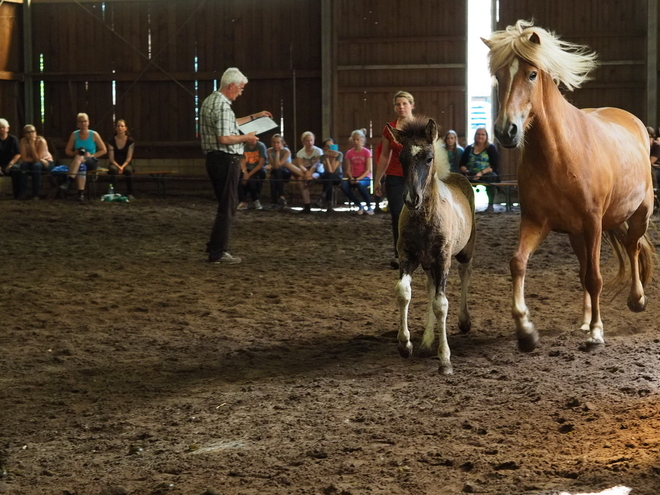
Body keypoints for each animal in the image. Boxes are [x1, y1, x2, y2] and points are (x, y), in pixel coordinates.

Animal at [390, 118, 476, 374]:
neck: (426, 218)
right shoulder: (408, 257)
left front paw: (445, 360)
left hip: (465, 251)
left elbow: (441, 304)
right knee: (429, 288)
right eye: (401, 159)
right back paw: (427, 342)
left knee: (465, 272)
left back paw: (464, 321)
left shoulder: (443, 260)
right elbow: (404, 292)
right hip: (428, 264)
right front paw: (405, 345)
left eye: (428, 158)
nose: (411, 199)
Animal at [482, 20, 656, 352]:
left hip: (639, 214)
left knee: (632, 246)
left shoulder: (593, 223)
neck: (558, 155)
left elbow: (596, 277)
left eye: (531, 74)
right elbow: (518, 263)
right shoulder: (536, 222)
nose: (506, 131)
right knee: (584, 269)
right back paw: (586, 320)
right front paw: (525, 330)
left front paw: (597, 333)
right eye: (498, 75)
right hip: (577, 235)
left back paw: (637, 300)